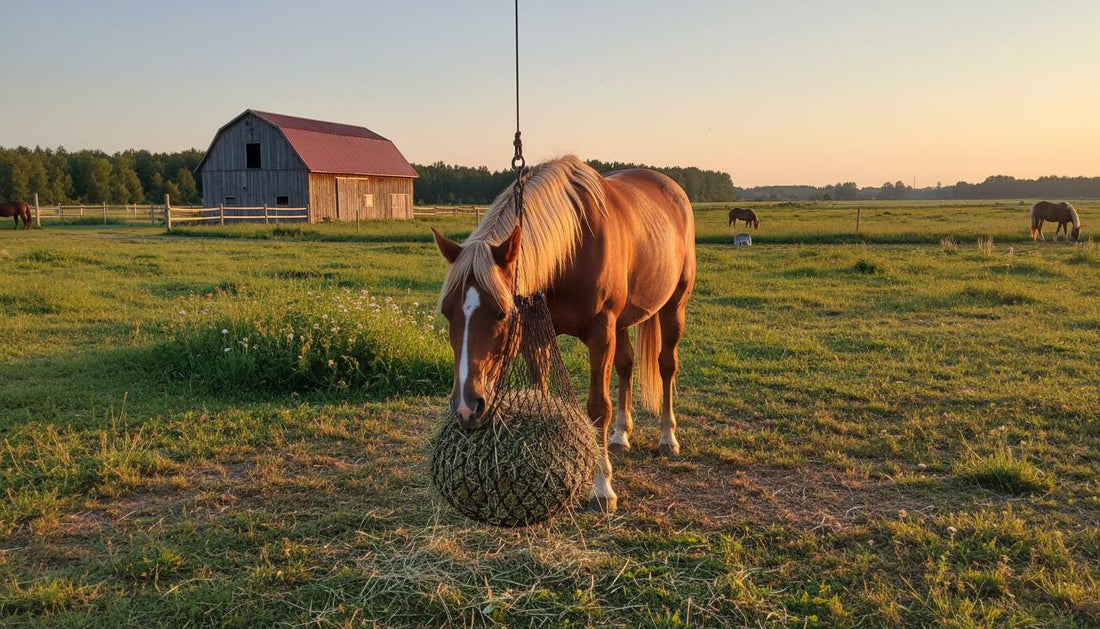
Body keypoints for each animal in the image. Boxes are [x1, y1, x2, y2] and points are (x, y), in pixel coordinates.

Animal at [431, 155, 696, 513]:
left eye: (501, 313)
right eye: (448, 313)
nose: (465, 407)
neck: (571, 249)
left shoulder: (601, 335)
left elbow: (598, 408)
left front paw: (602, 488)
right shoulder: (538, 332)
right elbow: (544, 396)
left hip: (673, 307)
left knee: (666, 366)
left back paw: (667, 437)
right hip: (624, 322)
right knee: (626, 366)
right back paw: (620, 435)